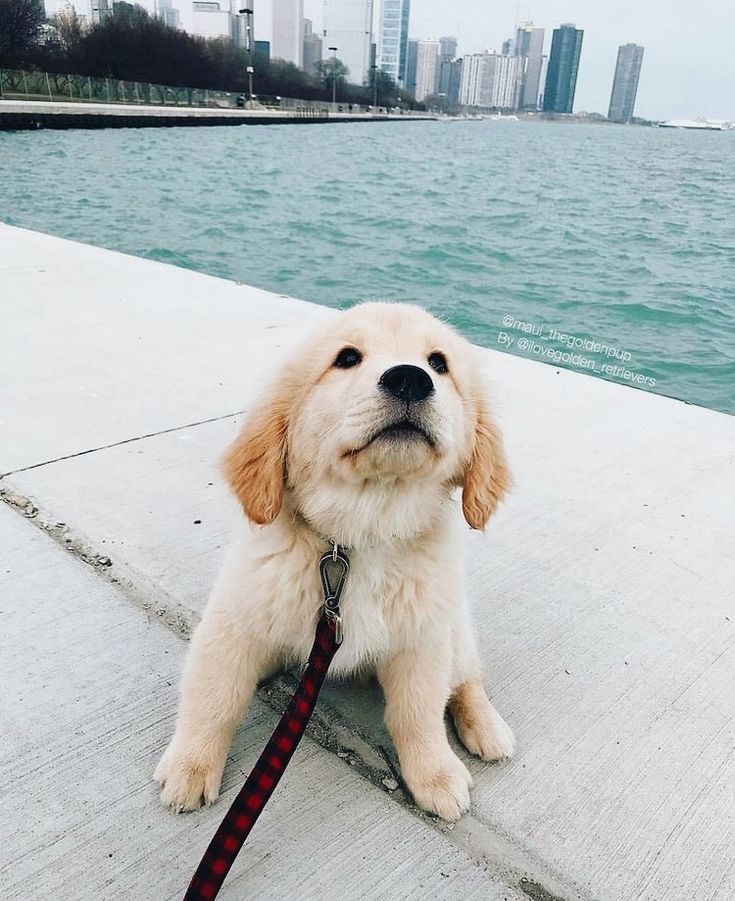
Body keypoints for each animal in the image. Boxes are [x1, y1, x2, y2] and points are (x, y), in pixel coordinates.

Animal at [154, 302, 512, 824]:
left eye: (439, 363)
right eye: (346, 358)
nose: (410, 379)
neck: (362, 532)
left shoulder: (422, 639)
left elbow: (418, 713)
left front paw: (435, 774)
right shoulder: (234, 621)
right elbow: (214, 698)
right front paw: (190, 765)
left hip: (454, 627)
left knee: (466, 679)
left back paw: (487, 728)